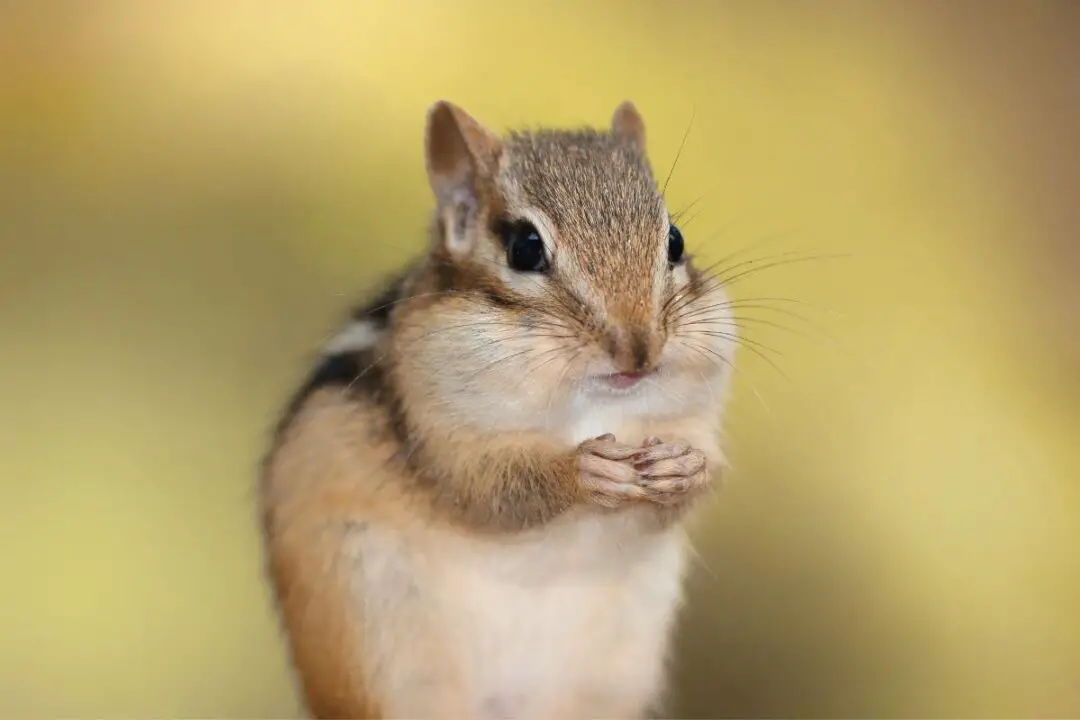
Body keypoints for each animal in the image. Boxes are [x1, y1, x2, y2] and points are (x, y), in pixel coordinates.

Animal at [259, 99, 737, 719]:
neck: (594, 403)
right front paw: (582, 471)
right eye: (525, 248)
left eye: (675, 241)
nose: (640, 351)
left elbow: (694, 477)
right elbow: (491, 489)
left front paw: (685, 467)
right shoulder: (438, 437)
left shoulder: (695, 415)